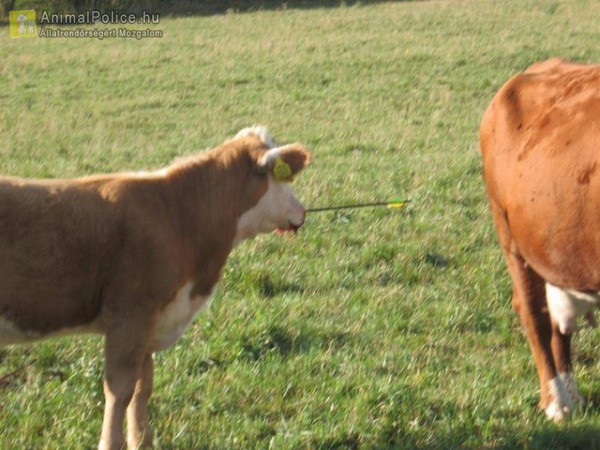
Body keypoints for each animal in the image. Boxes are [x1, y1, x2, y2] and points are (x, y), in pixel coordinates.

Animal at [0, 127, 312, 450]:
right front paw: (113, 442)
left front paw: (142, 440)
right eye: (282, 179)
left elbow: (143, 385)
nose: (301, 210)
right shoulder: (130, 315)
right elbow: (120, 390)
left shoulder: (150, 323)